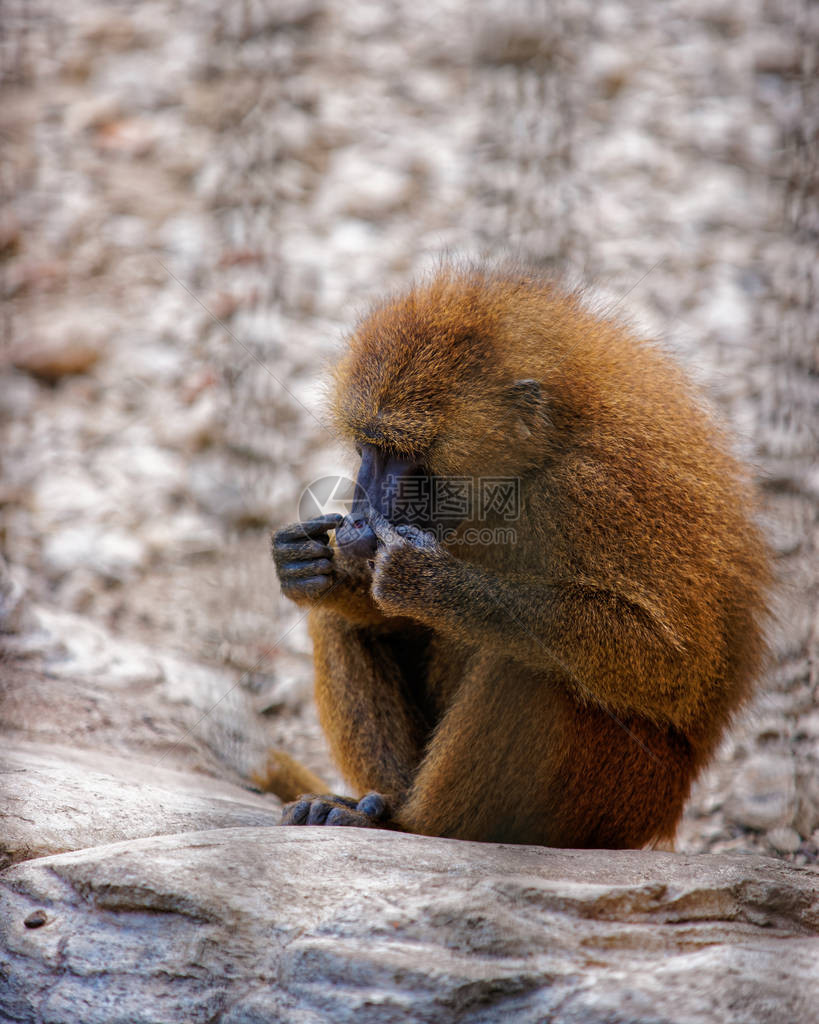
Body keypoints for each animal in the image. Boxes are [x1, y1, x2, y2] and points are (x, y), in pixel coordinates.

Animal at [266, 264, 769, 847]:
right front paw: (313, 568)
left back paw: (413, 824)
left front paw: (426, 581)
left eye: (402, 454)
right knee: (337, 620)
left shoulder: (594, 490)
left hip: (617, 800)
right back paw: (374, 804)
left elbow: (673, 664)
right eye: (367, 449)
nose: (358, 512)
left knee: (527, 663)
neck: (552, 443)